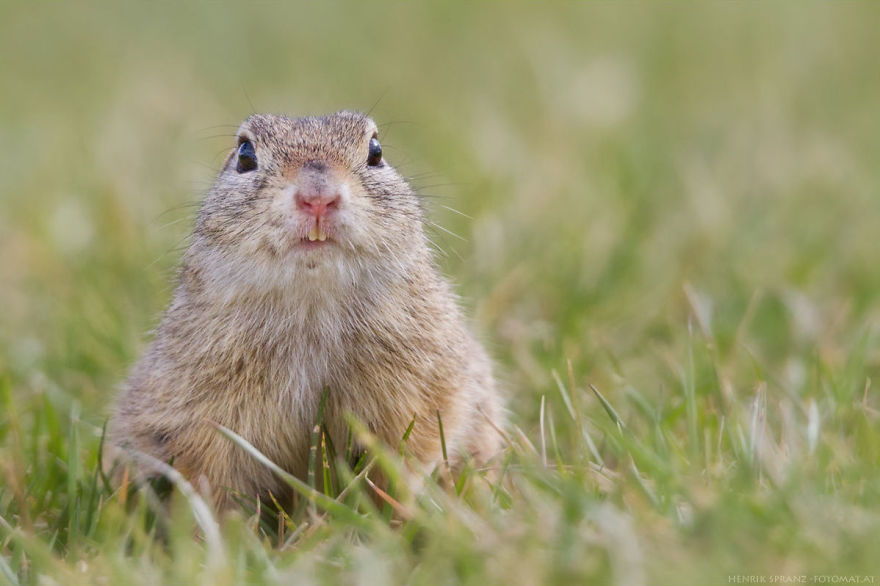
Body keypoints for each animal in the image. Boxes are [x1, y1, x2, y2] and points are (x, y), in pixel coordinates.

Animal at [107, 111, 505, 510]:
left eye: (376, 152)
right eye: (245, 154)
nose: (317, 198)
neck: (313, 306)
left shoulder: (425, 387)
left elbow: (409, 454)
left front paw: (397, 511)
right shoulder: (196, 410)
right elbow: (210, 479)